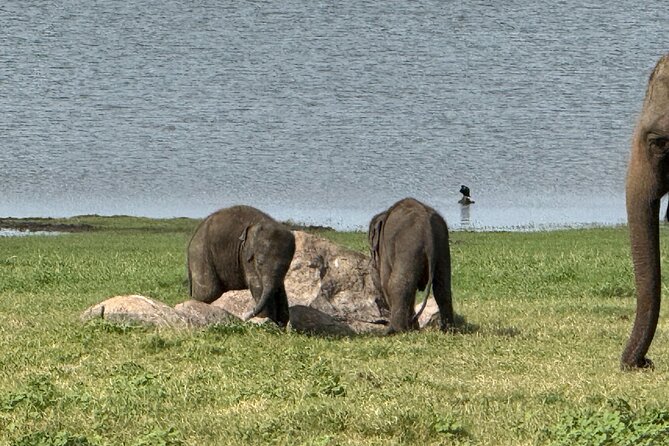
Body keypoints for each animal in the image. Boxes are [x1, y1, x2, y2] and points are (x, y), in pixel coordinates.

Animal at [368, 197, 454, 334]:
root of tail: (426, 225)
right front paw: (414, 328)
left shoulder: (385, 247)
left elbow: (385, 282)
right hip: (442, 244)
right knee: (442, 287)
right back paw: (448, 330)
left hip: (408, 244)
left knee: (397, 283)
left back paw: (393, 330)